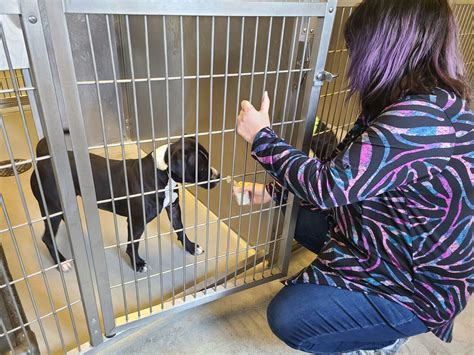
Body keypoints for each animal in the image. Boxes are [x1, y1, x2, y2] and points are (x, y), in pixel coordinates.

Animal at [30, 138, 219, 274]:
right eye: (202, 168)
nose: (218, 177)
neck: (161, 173)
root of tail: (43, 161)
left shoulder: (173, 208)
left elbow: (180, 229)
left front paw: (191, 247)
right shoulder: (136, 222)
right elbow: (132, 245)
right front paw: (137, 264)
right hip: (52, 208)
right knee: (47, 238)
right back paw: (61, 262)